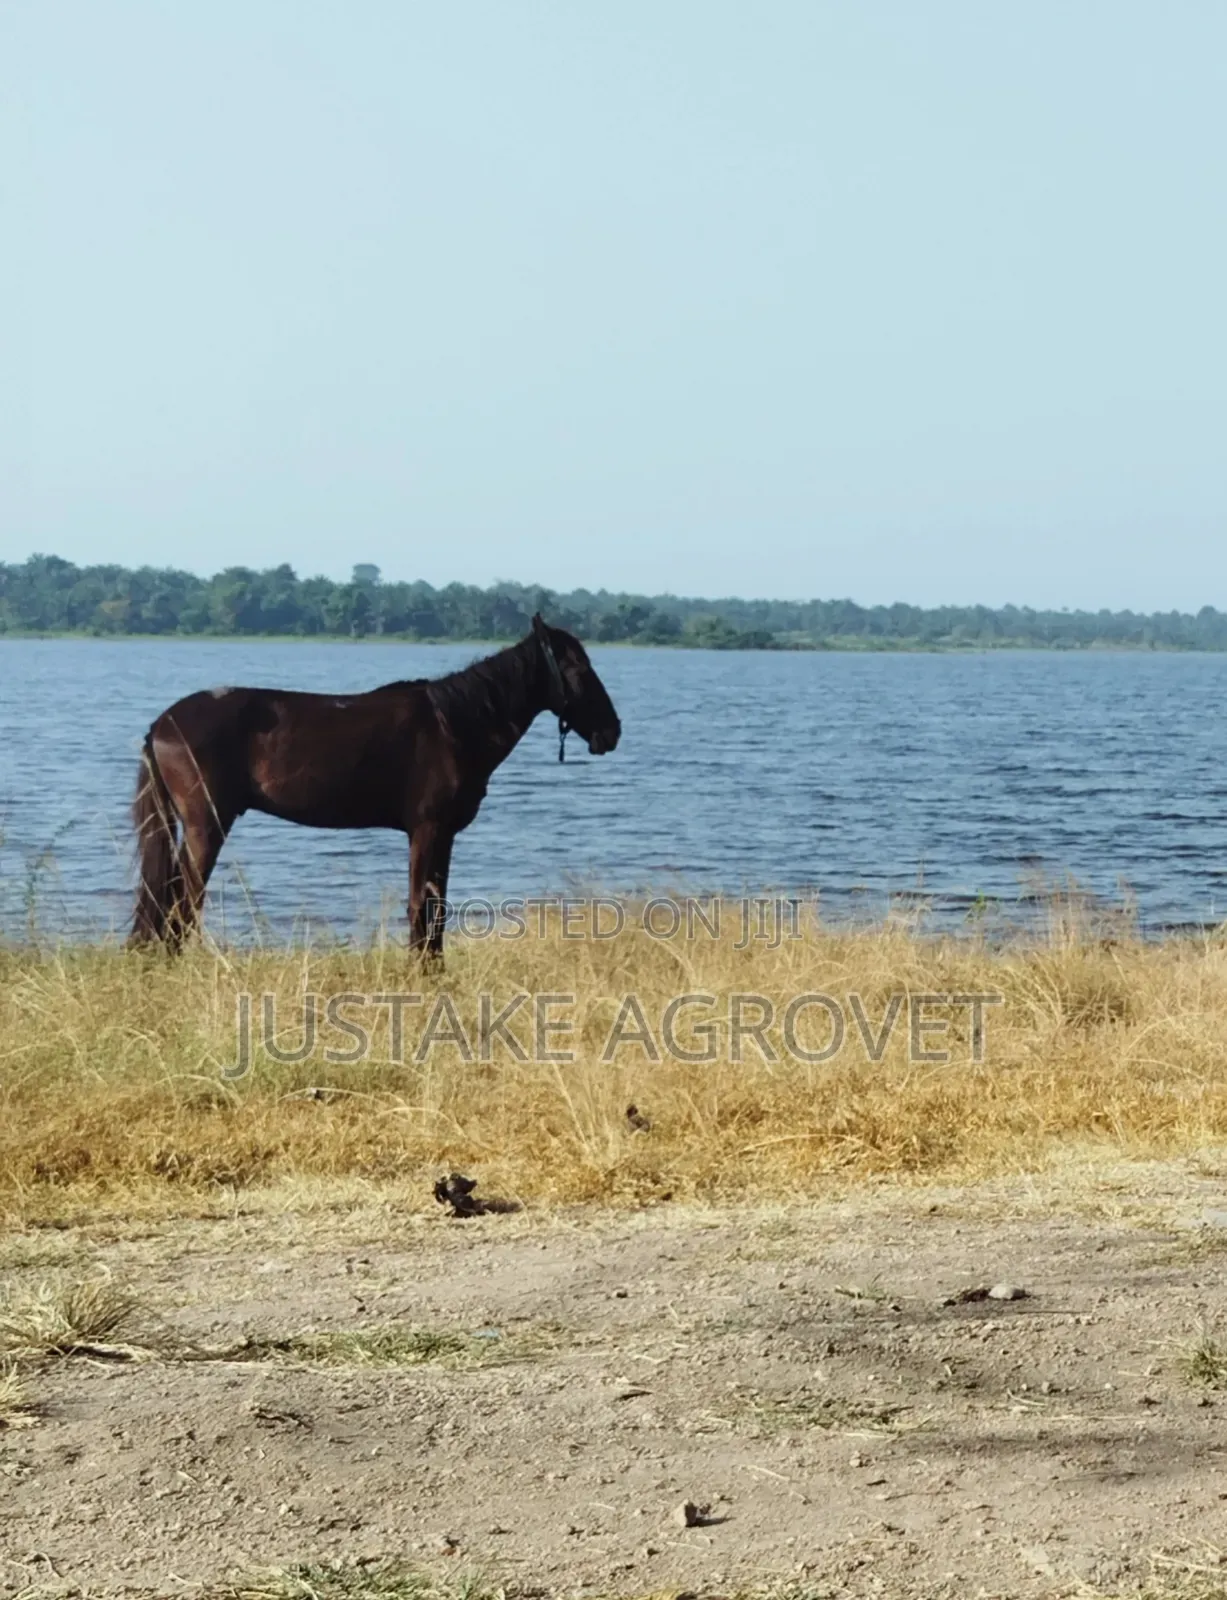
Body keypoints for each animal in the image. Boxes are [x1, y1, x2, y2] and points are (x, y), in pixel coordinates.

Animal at [129, 614, 621, 957]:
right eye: (579, 669)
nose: (611, 731)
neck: (454, 724)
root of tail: (163, 723)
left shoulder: (441, 836)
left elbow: (436, 910)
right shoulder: (427, 830)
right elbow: (422, 909)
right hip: (206, 826)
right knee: (181, 901)